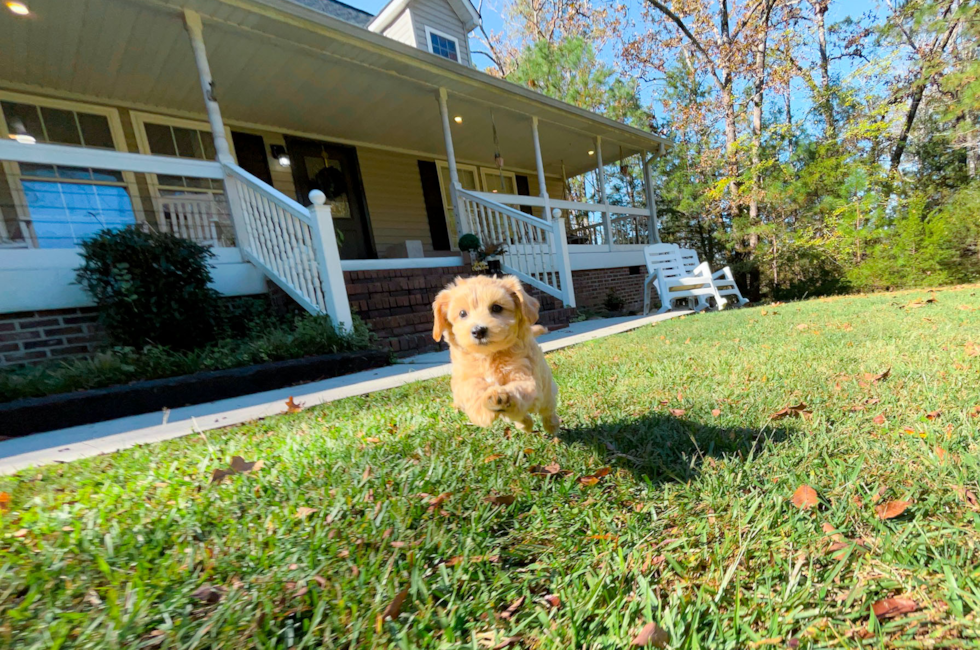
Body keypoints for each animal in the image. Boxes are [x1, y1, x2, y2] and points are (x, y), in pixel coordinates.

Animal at [430, 274, 560, 430]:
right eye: (462, 313)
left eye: (496, 308)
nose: (478, 331)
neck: (489, 355)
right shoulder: (463, 378)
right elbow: (470, 388)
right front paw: (482, 409)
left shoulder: (525, 375)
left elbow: (520, 388)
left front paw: (499, 396)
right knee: (519, 415)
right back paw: (525, 424)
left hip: (546, 392)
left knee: (547, 409)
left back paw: (551, 425)